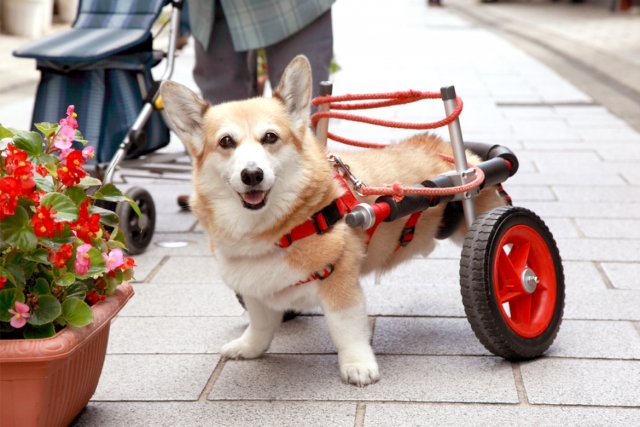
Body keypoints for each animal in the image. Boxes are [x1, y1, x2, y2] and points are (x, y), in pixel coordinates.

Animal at [159, 56, 504, 388]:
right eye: (226, 142)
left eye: (270, 137)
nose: (252, 174)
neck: (278, 228)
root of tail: (452, 151)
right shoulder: (256, 288)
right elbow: (260, 323)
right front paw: (249, 348)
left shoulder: (340, 281)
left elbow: (346, 329)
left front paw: (358, 366)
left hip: (483, 218)